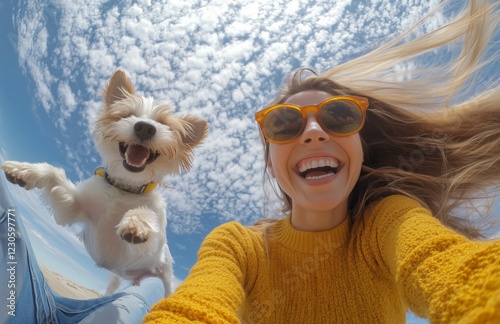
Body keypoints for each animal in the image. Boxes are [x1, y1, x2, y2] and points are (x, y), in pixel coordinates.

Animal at [1, 70, 207, 296]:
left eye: (164, 124)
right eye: (126, 115)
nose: (145, 128)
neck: (125, 188)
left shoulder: (149, 248)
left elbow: (146, 213)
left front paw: (137, 222)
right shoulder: (72, 209)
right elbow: (55, 173)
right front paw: (25, 171)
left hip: (166, 277)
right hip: (116, 278)